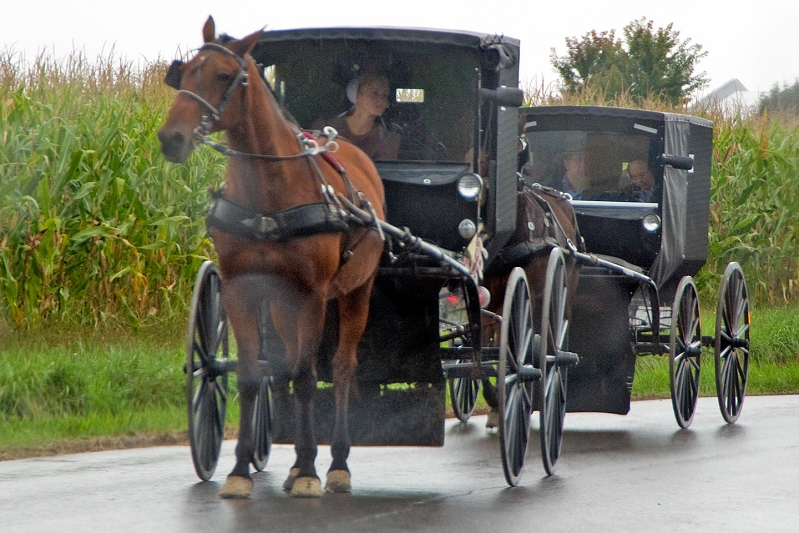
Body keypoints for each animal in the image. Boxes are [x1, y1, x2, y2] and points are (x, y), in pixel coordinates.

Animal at [158, 17, 386, 498]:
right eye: (184, 72)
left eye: (224, 76)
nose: (171, 138)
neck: (268, 191)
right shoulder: (242, 289)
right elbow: (250, 376)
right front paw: (241, 469)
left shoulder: (313, 295)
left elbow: (306, 377)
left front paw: (312, 470)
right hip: (282, 304)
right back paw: (298, 465)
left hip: (355, 292)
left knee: (340, 368)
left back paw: (336, 462)